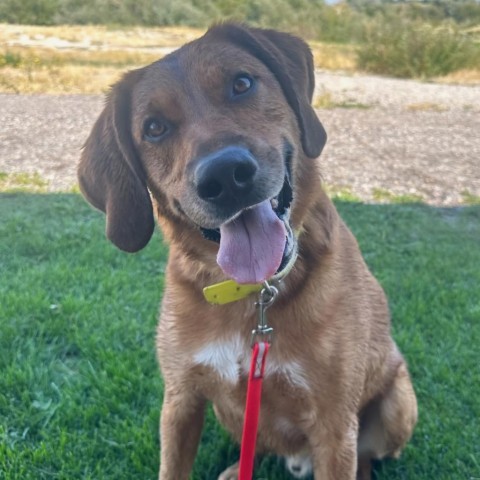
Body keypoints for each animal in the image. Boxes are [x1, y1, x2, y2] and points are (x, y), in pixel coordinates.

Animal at [78, 23, 416, 480]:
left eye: (241, 84)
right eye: (154, 128)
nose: (225, 176)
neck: (254, 296)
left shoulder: (334, 423)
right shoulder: (181, 399)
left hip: (398, 403)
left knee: (365, 455)